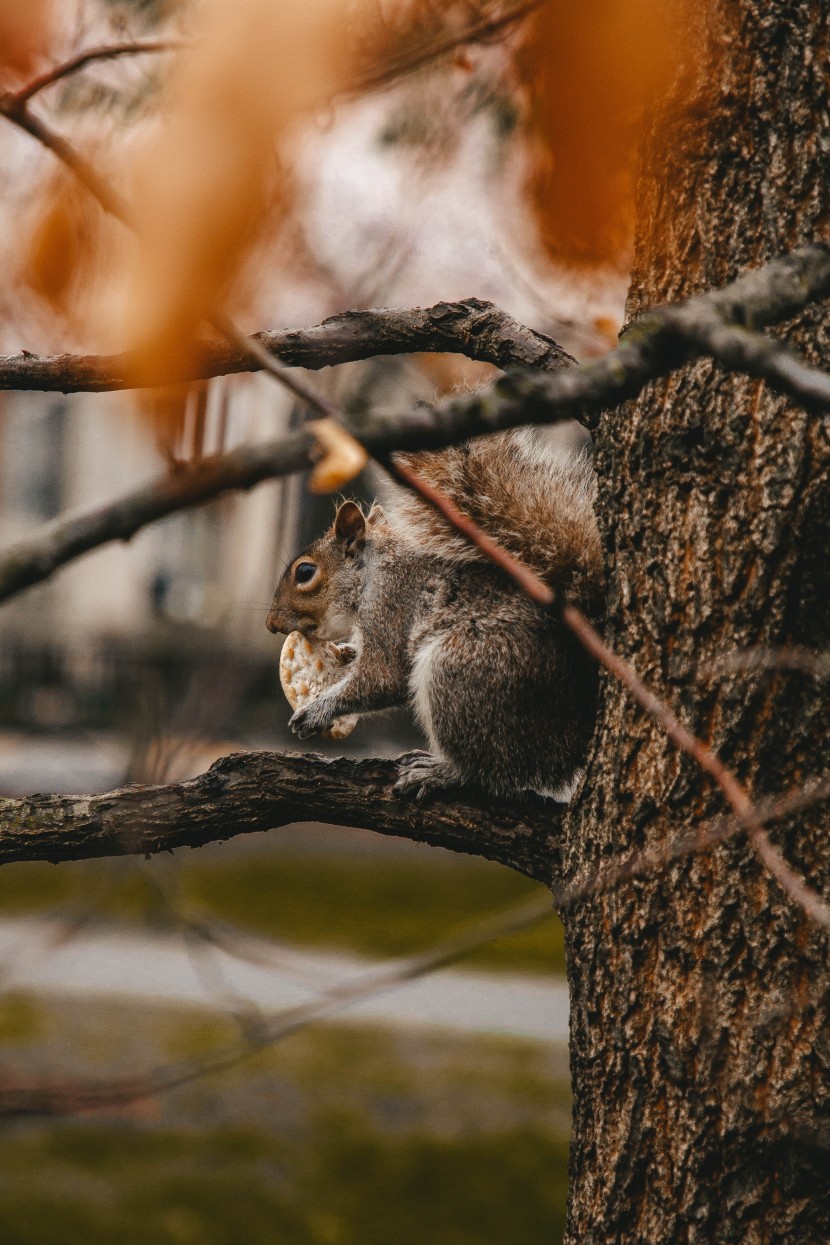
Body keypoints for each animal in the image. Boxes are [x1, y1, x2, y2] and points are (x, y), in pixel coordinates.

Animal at [266, 428, 604, 796]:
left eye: (305, 572)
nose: (271, 623)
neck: (372, 571)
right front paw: (346, 652)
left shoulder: (390, 605)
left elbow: (382, 678)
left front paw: (318, 709)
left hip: (463, 673)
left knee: (490, 771)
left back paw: (441, 772)